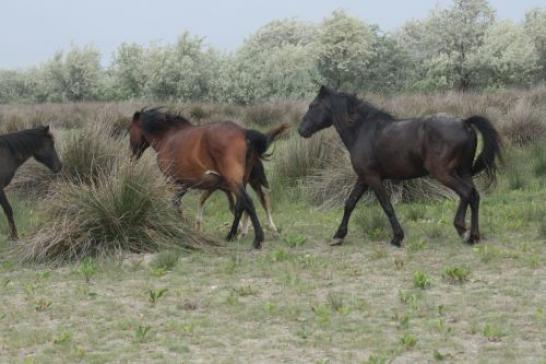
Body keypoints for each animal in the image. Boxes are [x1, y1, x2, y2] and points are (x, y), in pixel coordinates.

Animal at [129, 108, 286, 249]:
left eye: (130, 130)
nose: (132, 156)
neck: (168, 137)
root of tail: (244, 132)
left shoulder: (173, 181)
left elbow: (175, 204)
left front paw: (181, 225)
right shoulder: (185, 184)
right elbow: (178, 203)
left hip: (234, 180)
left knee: (248, 202)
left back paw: (257, 239)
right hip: (241, 180)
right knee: (241, 205)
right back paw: (232, 235)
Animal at [298, 87, 502, 247]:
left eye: (312, 106)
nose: (301, 130)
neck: (362, 130)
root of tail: (464, 122)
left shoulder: (373, 177)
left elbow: (387, 205)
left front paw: (397, 237)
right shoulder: (363, 178)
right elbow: (350, 203)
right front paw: (338, 236)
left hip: (443, 173)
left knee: (466, 193)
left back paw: (463, 230)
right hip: (463, 171)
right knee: (474, 196)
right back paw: (474, 235)